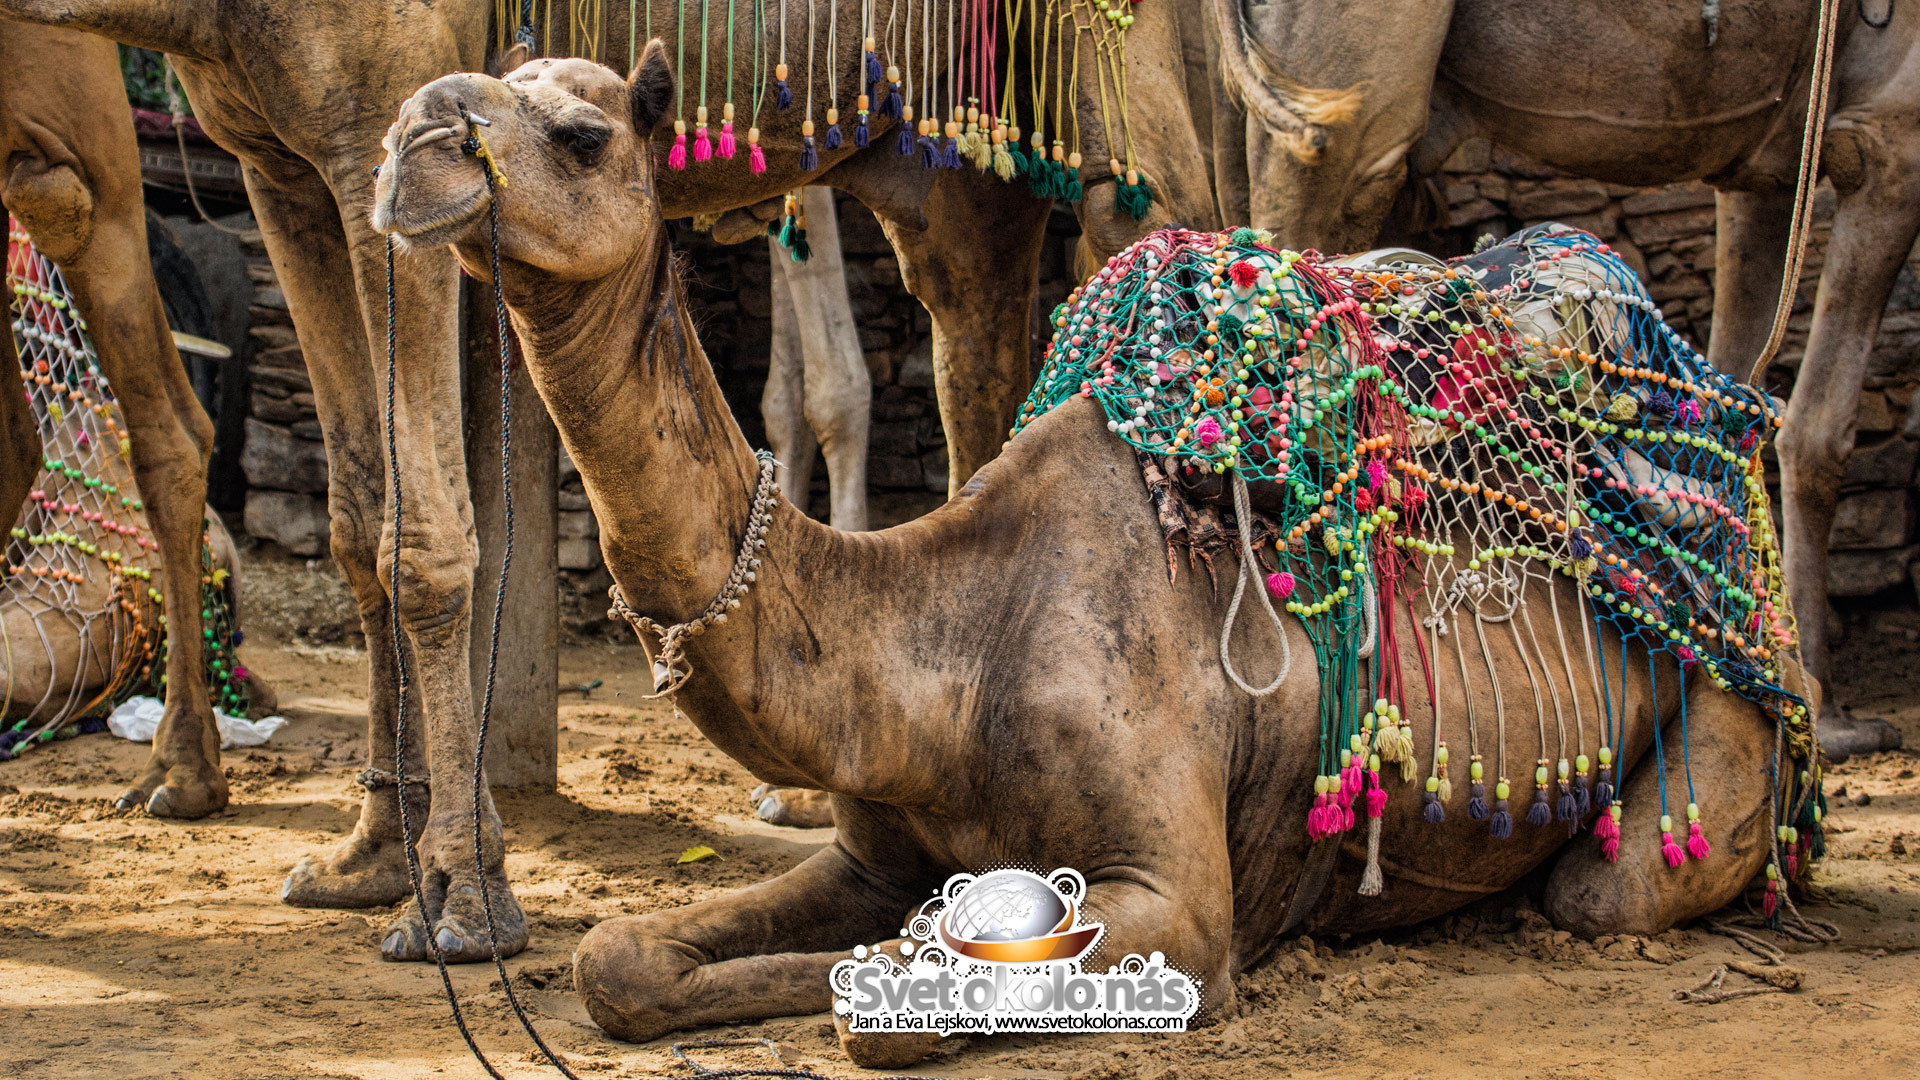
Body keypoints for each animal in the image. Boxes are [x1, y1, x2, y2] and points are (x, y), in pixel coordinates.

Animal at [378, 48, 1812, 1060]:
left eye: (581, 134)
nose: (407, 144)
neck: (944, 642)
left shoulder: (1181, 900)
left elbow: (895, 995)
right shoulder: (868, 852)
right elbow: (618, 960)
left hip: (1724, 731)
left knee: (1605, 890)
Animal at [1205, 0, 1912, 757]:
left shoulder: (1771, 167)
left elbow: (1745, 375)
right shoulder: (1888, 137)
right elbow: (1818, 429)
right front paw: (1836, 717)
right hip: (1347, 102)